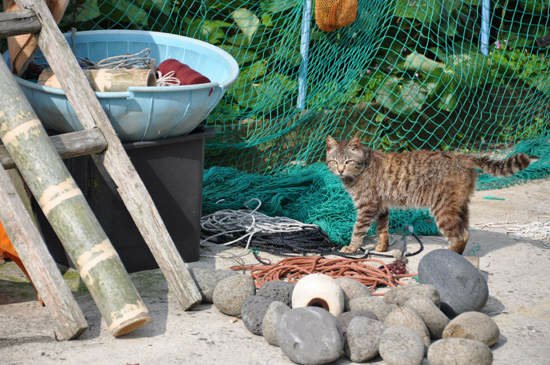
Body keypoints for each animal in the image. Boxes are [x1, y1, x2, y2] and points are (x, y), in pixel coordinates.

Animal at [326, 135, 532, 255]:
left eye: (348, 161)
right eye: (334, 161)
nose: (340, 170)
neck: (363, 166)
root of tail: (461, 156)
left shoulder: (366, 207)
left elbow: (358, 231)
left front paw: (351, 248)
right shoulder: (382, 207)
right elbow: (382, 230)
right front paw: (381, 247)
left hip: (443, 209)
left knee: (460, 236)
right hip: (459, 207)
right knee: (466, 231)